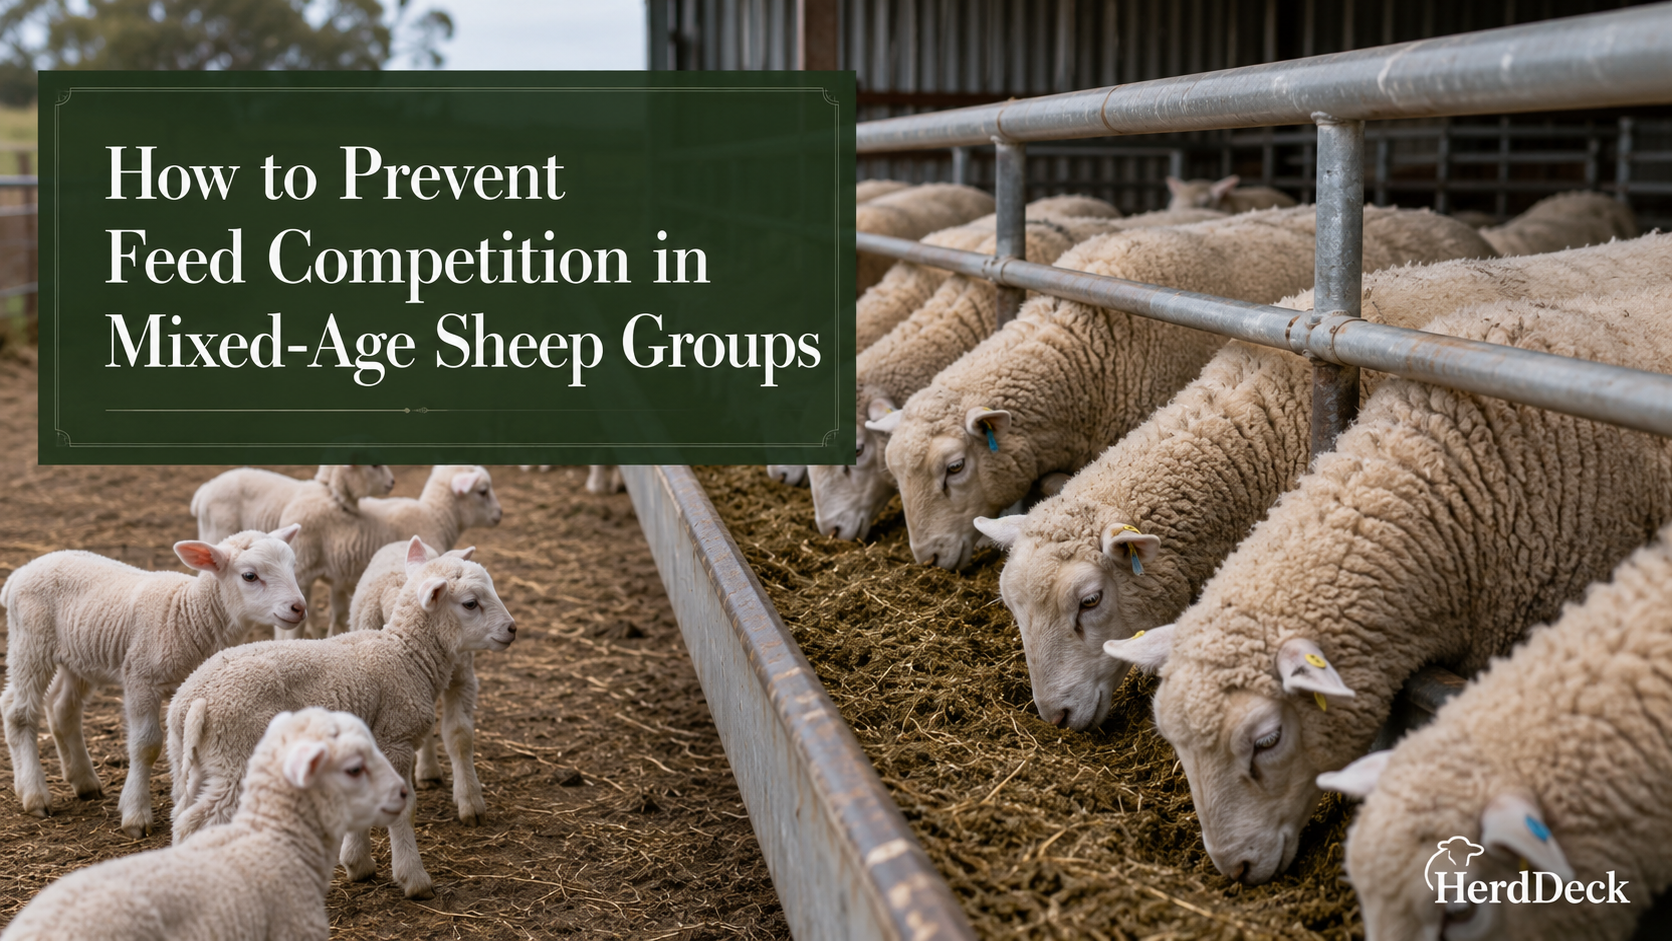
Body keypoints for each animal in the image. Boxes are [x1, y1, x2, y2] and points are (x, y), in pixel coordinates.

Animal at [0, 527, 307, 837]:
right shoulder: (140, 677)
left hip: (80, 658)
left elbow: (181, 744)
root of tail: (21, 571)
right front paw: (136, 815)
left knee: (62, 708)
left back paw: (84, 781)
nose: (299, 607)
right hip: (31, 642)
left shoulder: (190, 687)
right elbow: (145, 746)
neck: (188, 613)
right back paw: (34, 795)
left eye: (292, 566)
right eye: (249, 576)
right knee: (18, 712)